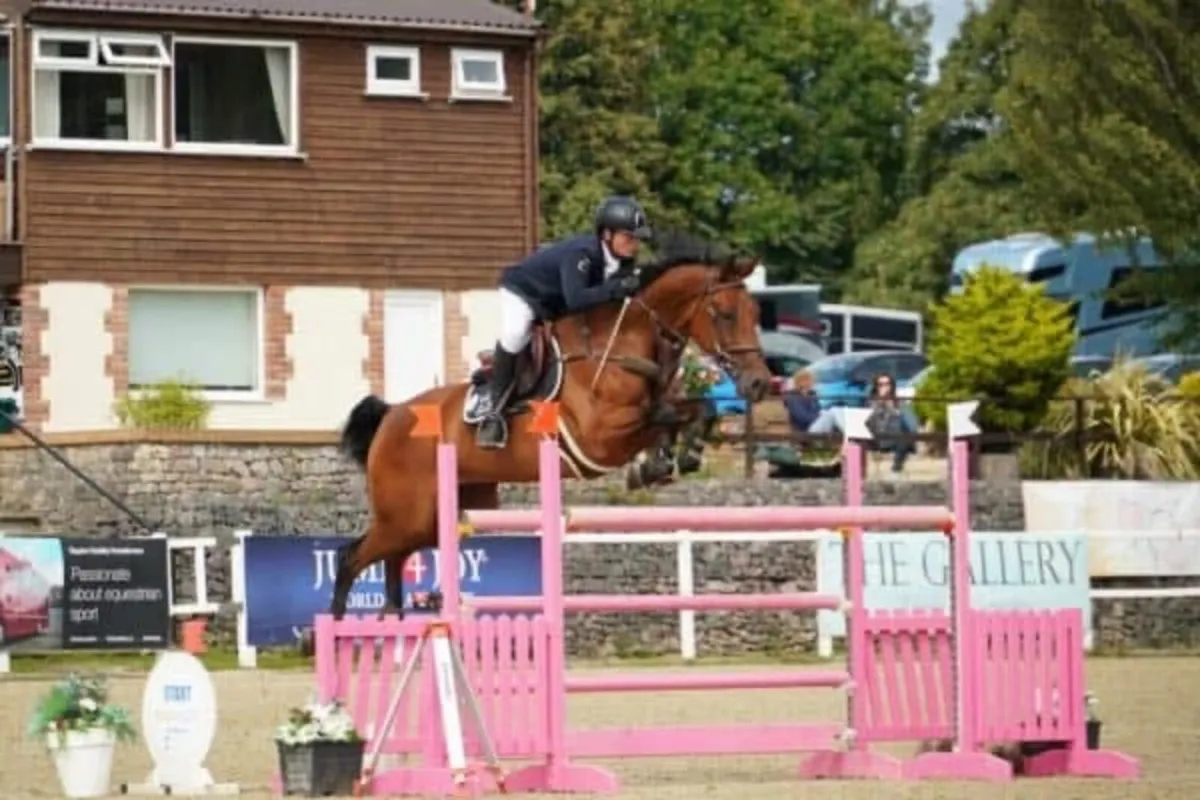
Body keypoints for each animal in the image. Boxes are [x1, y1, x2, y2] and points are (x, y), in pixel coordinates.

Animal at [330, 235, 773, 618]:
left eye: (756, 314)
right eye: (726, 315)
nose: (759, 383)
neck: (623, 346)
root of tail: (392, 416)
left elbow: (695, 410)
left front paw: (674, 458)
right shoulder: (600, 439)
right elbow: (663, 416)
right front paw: (657, 462)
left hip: (440, 516)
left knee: (393, 562)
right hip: (407, 516)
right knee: (350, 558)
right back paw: (330, 635)